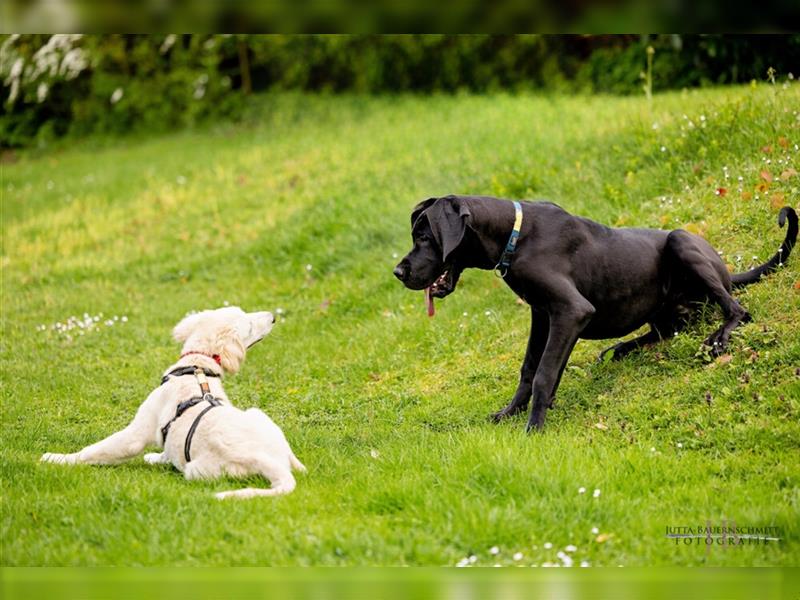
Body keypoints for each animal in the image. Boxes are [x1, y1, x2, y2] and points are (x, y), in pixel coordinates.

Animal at [40, 308, 304, 500]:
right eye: (248, 322)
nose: (273, 316)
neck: (197, 366)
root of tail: (269, 461)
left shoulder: (136, 433)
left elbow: (95, 450)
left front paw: (57, 458)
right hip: (258, 416)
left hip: (196, 471)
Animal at [392, 195, 792, 428]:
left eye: (424, 237)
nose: (398, 272)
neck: (513, 235)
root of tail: (726, 269)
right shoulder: (542, 314)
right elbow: (530, 369)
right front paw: (511, 413)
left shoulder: (571, 311)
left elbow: (544, 373)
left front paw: (534, 427)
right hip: (666, 310)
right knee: (664, 330)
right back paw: (620, 349)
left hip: (682, 242)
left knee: (737, 309)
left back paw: (719, 336)